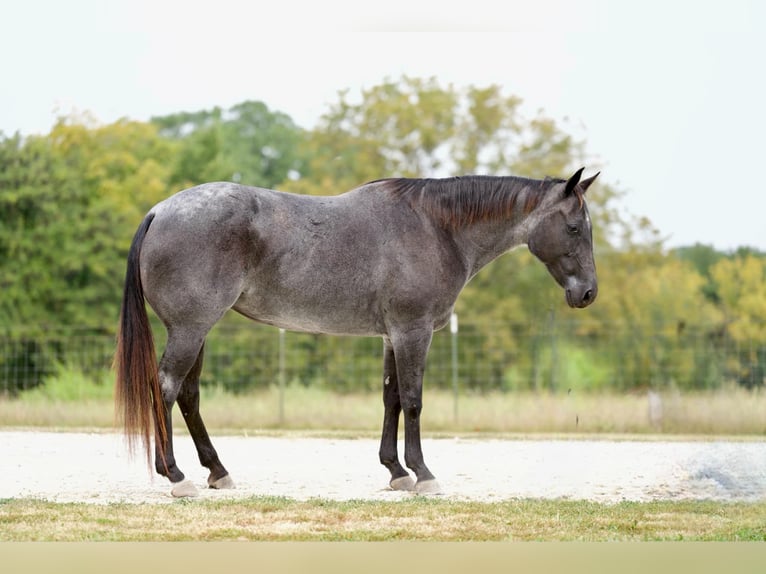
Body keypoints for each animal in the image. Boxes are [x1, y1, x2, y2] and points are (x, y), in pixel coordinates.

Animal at [117, 168, 604, 500]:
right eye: (574, 227)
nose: (588, 293)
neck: (436, 228)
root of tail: (160, 211)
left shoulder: (392, 336)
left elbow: (391, 398)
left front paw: (396, 472)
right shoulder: (413, 331)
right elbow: (413, 400)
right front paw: (423, 474)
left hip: (198, 330)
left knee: (188, 394)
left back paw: (216, 471)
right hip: (190, 329)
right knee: (166, 388)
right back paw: (176, 475)